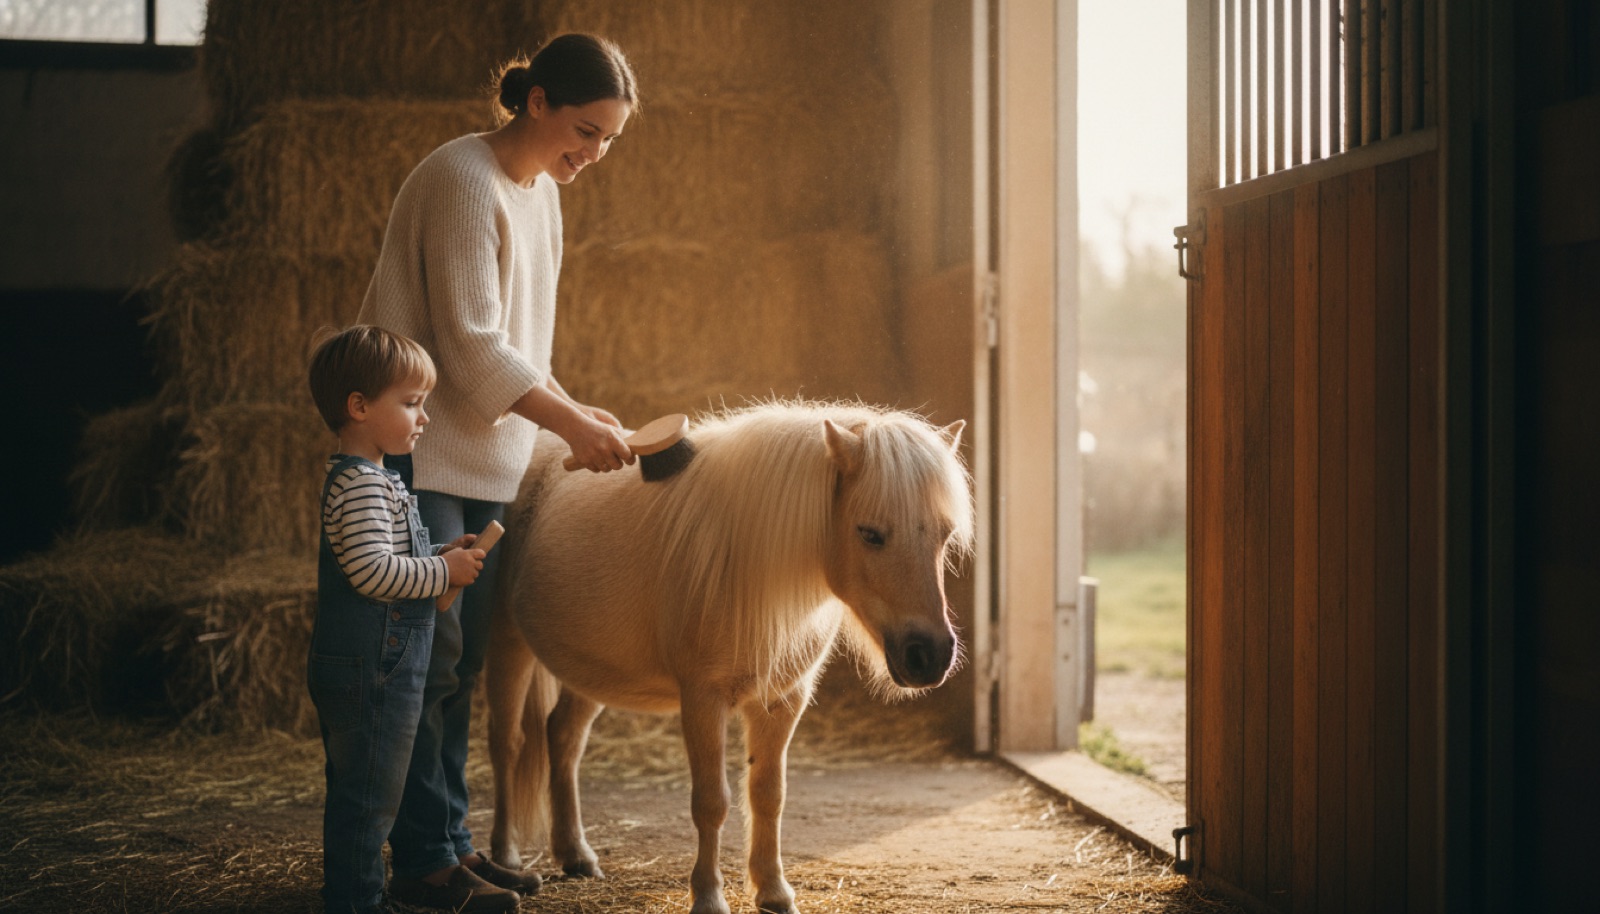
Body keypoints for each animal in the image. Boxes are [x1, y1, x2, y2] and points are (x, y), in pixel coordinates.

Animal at [484, 400, 973, 914]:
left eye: (944, 534)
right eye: (870, 534)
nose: (930, 655)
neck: (746, 567)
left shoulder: (783, 701)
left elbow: (768, 794)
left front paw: (773, 890)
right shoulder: (703, 700)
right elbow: (711, 801)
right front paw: (708, 895)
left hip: (591, 670)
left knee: (563, 737)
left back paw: (575, 854)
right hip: (508, 642)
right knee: (507, 742)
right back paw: (507, 857)